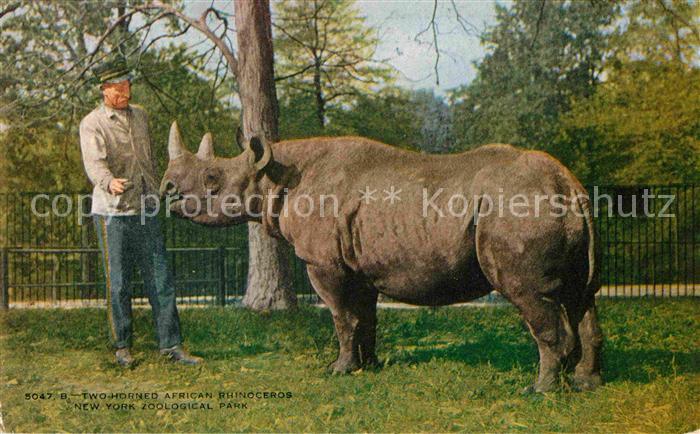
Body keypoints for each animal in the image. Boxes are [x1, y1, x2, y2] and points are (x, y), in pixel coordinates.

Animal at [160, 121, 603, 393]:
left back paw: (539, 390)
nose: (166, 189)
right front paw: (368, 367)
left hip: (516, 208)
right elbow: (364, 317)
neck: (274, 174)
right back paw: (586, 383)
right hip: (552, 208)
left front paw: (338, 370)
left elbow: (342, 317)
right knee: (581, 296)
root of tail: (568, 185)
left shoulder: (325, 264)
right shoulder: (359, 265)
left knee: (530, 295)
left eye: (212, 179)